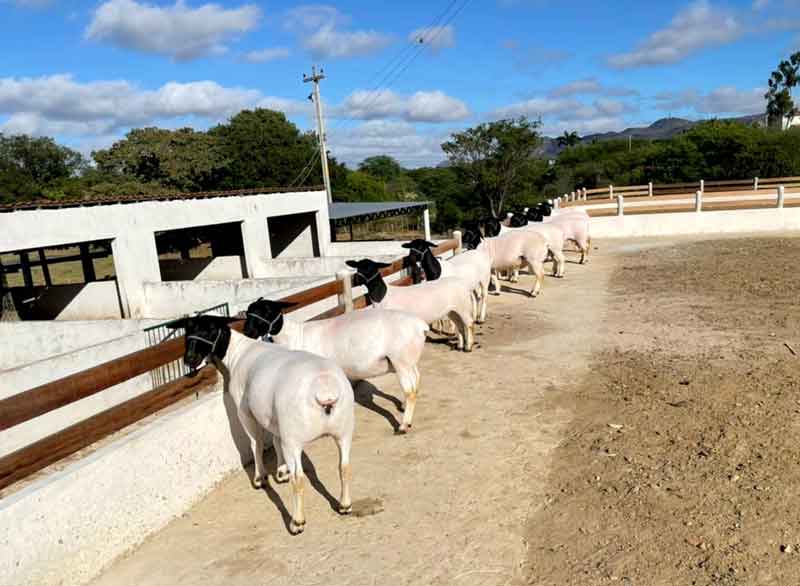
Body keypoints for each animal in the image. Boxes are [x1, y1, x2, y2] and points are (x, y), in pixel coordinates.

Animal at [170, 314, 354, 532]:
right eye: (188, 331)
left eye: (210, 329)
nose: (189, 359)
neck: (238, 352)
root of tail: (324, 390)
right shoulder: (272, 416)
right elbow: (274, 440)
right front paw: (281, 471)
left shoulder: (245, 412)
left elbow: (255, 443)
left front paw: (260, 478)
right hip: (344, 430)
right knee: (344, 466)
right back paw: (345, 505)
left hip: (294, 438)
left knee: (299, 479)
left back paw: (297, 522)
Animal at [244, 298, 432, 432]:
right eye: (248, 312)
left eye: (267, 310)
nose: (248, 332)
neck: (296, 336)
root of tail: (421, 326)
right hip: (409, 361)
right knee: (417, 381)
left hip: (401, 361)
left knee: (410, 391)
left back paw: (404, 425)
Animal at [344, 260, 476, 352]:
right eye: (358, 266)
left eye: (370, 268)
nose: (356, 280)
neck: (382, 296)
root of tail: (464, 284)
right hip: (453, 310)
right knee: (460, 325)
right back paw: (460, 346)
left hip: (464, 306)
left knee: (469, 324)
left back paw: (468, 347)